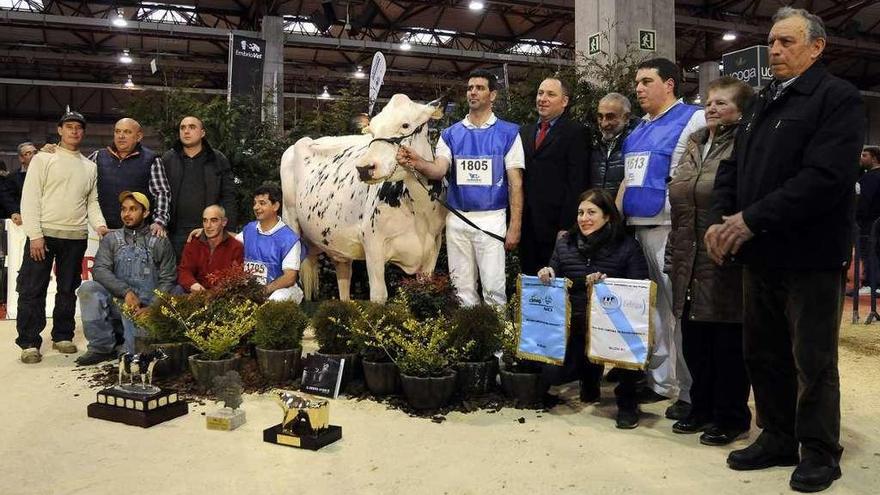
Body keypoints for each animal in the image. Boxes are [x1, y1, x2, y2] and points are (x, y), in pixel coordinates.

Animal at [280, 93, 446, 302]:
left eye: (405, 124)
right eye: (372, 130)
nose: (364, 168)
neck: (419, 211)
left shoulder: (433, 250)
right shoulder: (373, 244)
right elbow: (379, 295)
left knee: (344, 279)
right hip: (290, 219)